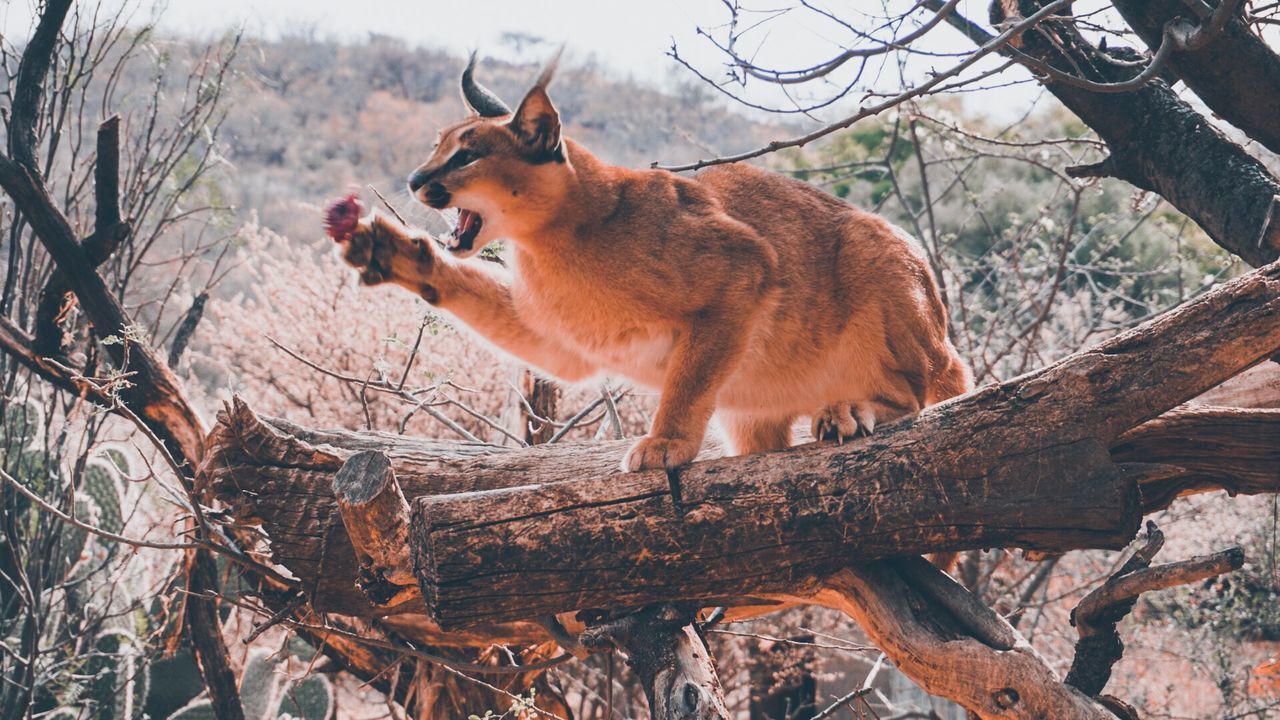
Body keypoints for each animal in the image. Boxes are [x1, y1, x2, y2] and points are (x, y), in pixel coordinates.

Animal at [327, 54, 967, 471]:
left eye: (466, 156)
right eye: (436, 145)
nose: (415, 179)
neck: (555, 240)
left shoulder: (744, 265)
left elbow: (691, 378)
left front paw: (667, 444)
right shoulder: (563, 343)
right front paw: (396, 254)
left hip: (876, 255)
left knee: (920, 395)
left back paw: (847, 410)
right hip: (754, 414)